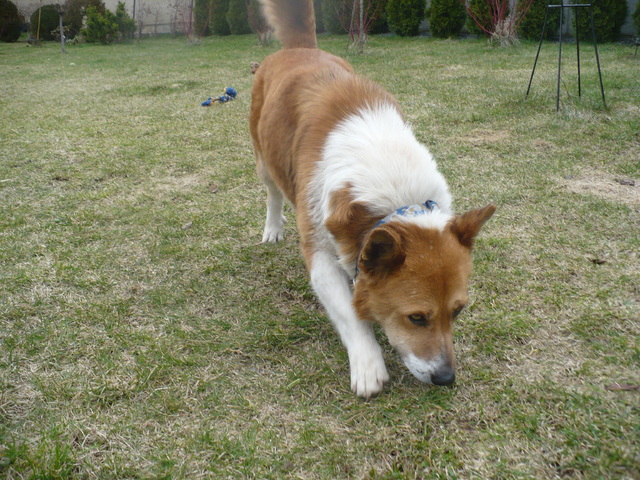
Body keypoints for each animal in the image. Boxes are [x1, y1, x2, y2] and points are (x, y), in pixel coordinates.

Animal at [250, 0, 495, 398]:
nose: (446, 379)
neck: (392, 188)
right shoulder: (320, 253)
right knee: (272, 193)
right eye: (416, 317)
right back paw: (273, 228)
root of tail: (300, 49)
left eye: (458, 311)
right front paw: (368, 365)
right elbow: (350, 314)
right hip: (263, 160)